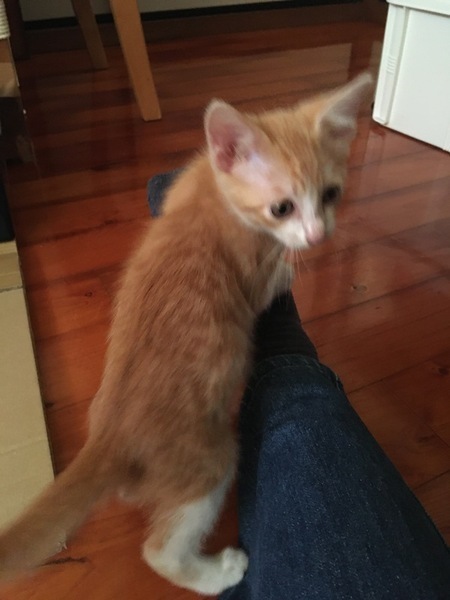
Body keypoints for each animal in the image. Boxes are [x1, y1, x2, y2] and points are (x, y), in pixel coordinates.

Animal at [0, 72, 372, 595]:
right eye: (282, 208)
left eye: (332, 194)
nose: (319, 236)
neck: (214, 196)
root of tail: (108, 438)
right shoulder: (251, 273)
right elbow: (268, 283)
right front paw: (288, 271)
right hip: (209, 459)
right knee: (162, 548)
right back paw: (217, 573)